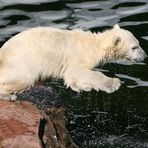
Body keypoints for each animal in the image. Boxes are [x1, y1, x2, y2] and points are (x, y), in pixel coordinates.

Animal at [0, 24, 146, 100]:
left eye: (139, 43)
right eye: (134, 47)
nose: (144, 56)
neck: (95, 44)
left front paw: (85, 87)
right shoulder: (78, 56)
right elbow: (76, 73)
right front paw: (113, 84)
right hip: (21, 63)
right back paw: (9, 96)